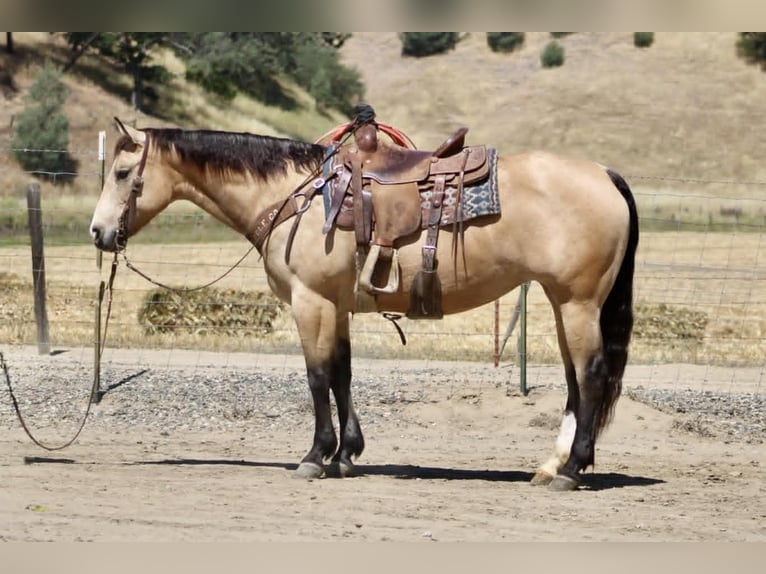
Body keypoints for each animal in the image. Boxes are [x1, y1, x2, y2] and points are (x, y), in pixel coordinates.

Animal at [90, 116, 638, 491]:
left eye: (122, 172)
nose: (98, 232)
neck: (298, 199)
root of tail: (606, 173)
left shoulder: (309, 302)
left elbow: (316, 376)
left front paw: (315, 456)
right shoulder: (336, 306)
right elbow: (342, 373)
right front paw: (347, 453)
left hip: (577, 302)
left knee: (590, 374)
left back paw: (572, 469)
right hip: (562, 302)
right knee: (574, 380)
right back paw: (550, 465)